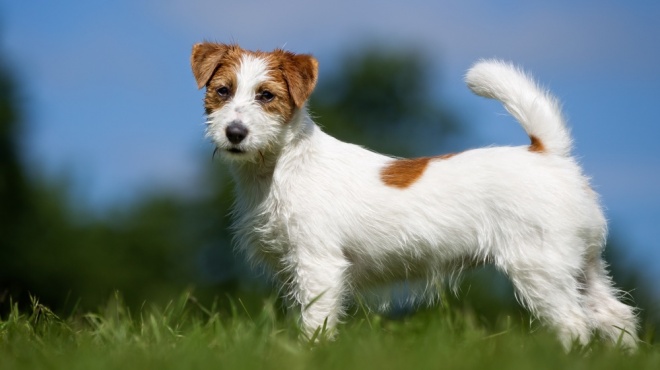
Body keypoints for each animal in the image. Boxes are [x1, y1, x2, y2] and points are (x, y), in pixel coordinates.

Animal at [191, 43, 640, 350]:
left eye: (266, 96)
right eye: (222, 91)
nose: (234, 133)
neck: (280, 165)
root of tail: (548, 153)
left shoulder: (318, 265)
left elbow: (316, 321)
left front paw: (309, 352)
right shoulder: (293, 269)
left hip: (540, 268)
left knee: (574, 323)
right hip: (583, 264)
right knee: (614, 315)